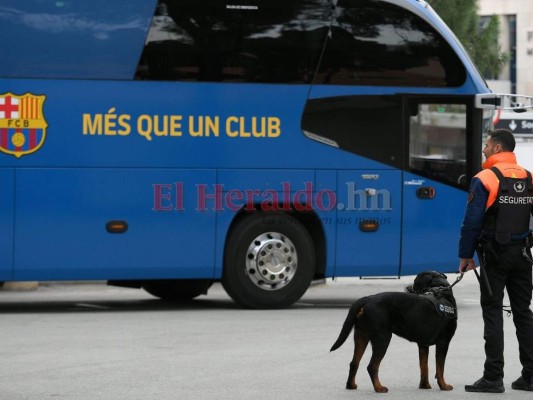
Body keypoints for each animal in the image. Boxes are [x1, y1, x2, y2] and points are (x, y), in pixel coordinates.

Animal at [328, 270, 458, 392]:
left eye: (415, 283)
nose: (408, 287)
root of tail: (369, 298)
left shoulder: (423, 345)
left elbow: (424, 366)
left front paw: (425, 385)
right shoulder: (443, 342)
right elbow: (440, 368)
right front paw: (444, 386)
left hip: (361, 335)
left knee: (354, 362)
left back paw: (351, 385)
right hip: (383, 338)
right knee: (372, 366)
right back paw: (379, 388)